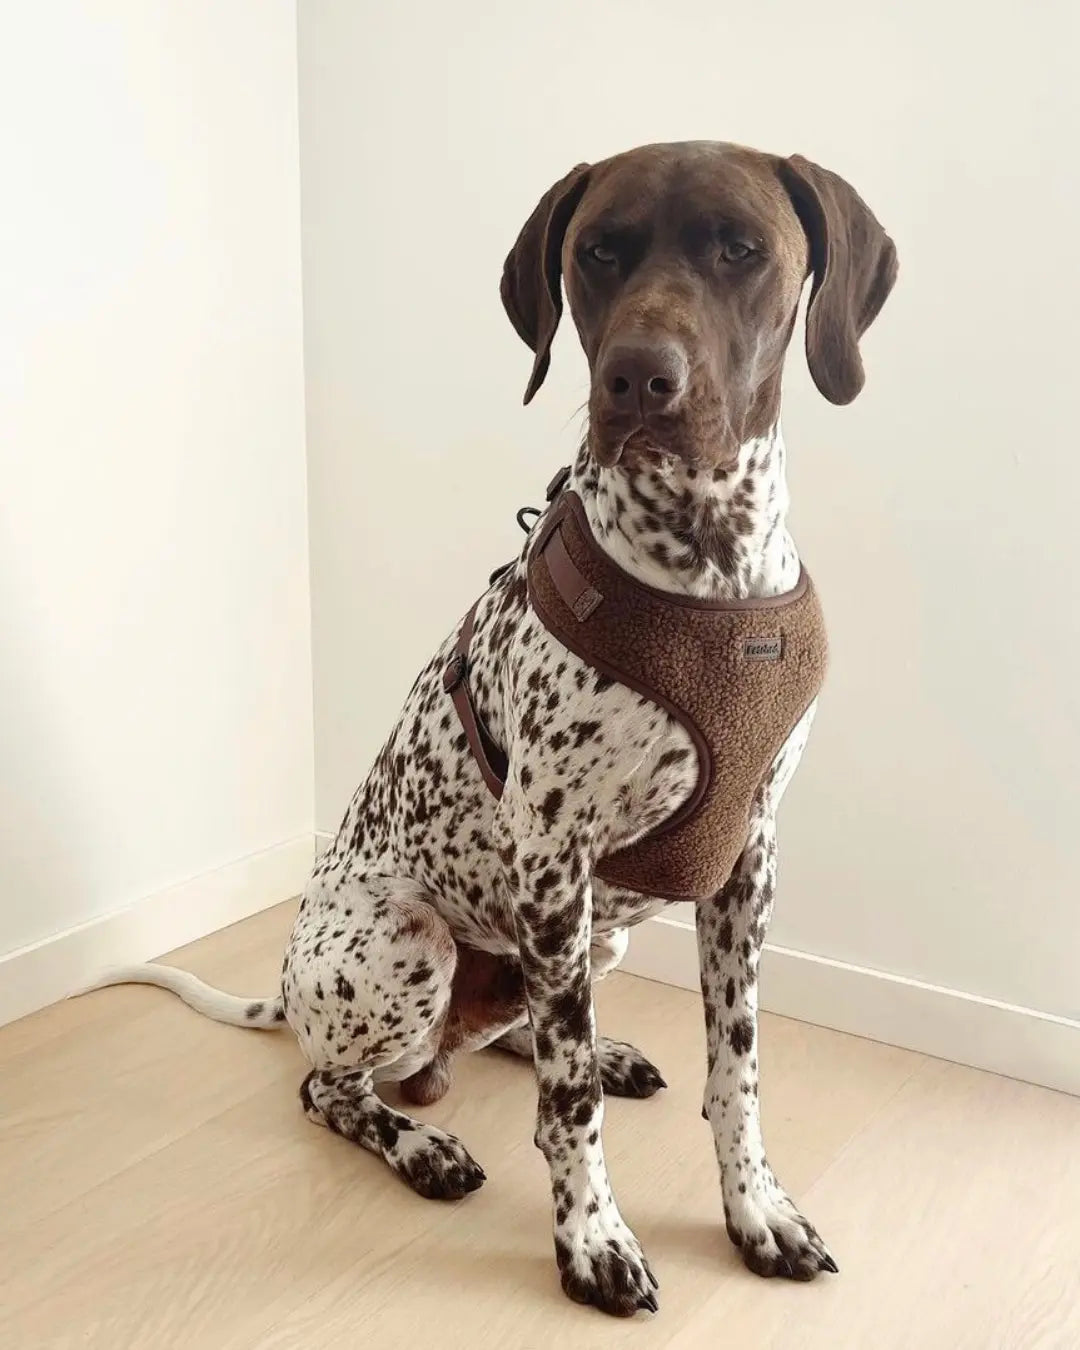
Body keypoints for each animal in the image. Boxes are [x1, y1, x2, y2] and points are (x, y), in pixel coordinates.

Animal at [93, 139, 896, 1317]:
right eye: (599, 251)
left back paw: (598, 1053)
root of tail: (287, 994)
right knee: (334, 1087)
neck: (711, 565)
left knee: (519, 1033)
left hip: (585, 937)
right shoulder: (555, 858)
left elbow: (737, 1071)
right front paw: (591, 1241)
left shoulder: (748, 863)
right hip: (414, 944)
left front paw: (758, 1210)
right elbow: (566, 1111)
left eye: (742, 251)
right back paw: (422, 1143)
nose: (639, 379)